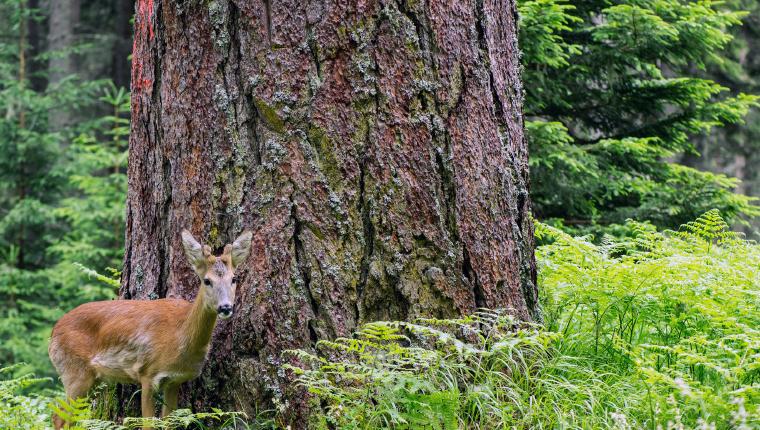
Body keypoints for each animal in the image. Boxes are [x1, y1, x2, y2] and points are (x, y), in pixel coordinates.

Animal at [47, 230, 252, 428]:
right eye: (207, 281)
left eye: (234, 278)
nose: (225, 307)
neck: (180, 335)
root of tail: (53, 332)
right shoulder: (147, 373)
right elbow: (148, 424)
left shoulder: (174, 380)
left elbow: (169, 422)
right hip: (74, 372)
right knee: (59, 417)